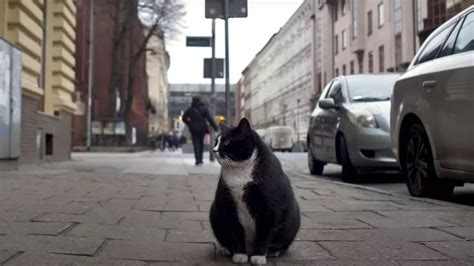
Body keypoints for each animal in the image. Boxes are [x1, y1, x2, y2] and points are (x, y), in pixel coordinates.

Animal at [208, 119, 298, 266]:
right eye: (216, 141)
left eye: (226, 142)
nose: (214, 149)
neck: (239, 172)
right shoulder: (229, 206)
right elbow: (236, 232)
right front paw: (240, 254)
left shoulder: (269, 209)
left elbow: (263, 235)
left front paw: (258, 256)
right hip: (215, 213)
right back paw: (226, 249)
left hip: (291, 222)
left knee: (283, 244)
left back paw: (273, 252)